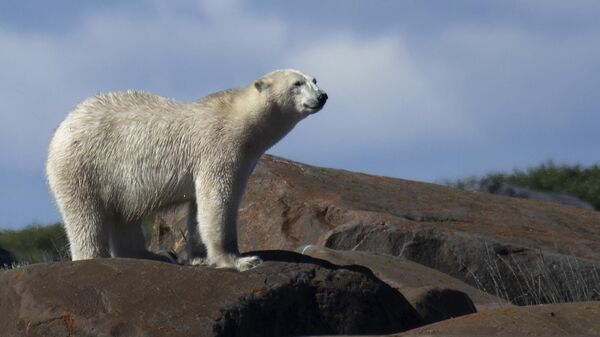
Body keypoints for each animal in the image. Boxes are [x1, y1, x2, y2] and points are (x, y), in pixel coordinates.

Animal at [46, 69, 328, 270]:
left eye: (314, 79)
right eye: (297, 83)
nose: (322, 96)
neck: (238, 119)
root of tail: (62, 127)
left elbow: (197, 208)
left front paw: (200, 257)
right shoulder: (218, 149)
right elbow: (218, 201)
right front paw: (239, 260)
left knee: (123, 216)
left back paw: (154, 255)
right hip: (84, 166)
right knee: (85, 216)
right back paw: (95, 256)